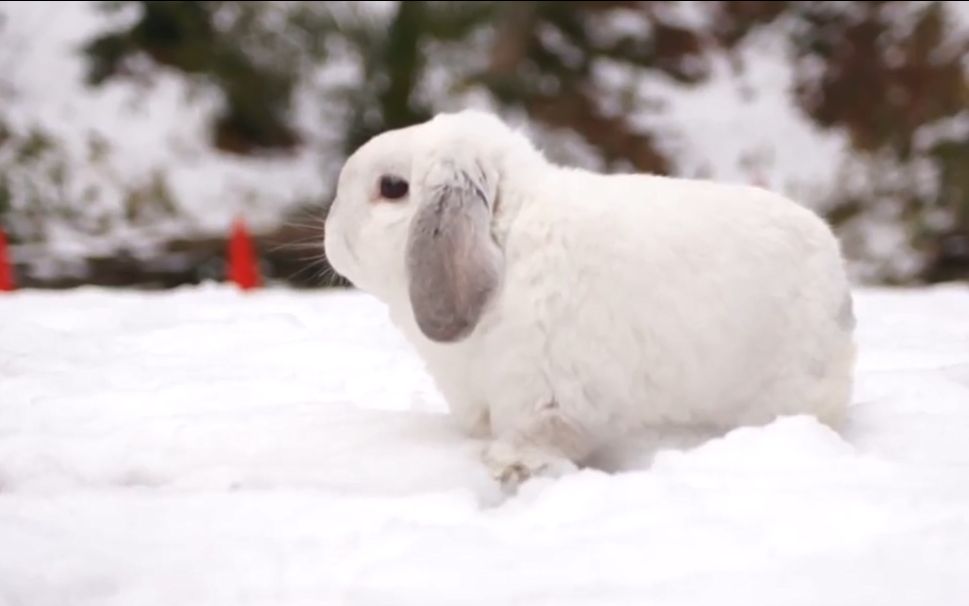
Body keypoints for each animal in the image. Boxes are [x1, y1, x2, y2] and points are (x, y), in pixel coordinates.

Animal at [326, 108, 856, 490]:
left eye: (392, 188)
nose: (331, 236)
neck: (506, 244)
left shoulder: (556, 396)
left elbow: (547, 433)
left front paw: (508, 466)